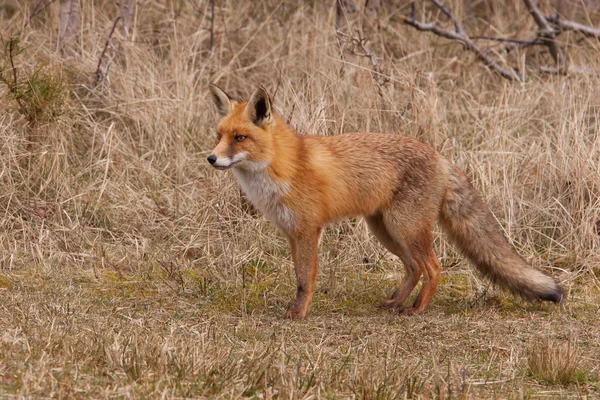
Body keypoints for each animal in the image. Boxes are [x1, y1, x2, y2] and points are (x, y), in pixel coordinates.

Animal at [206, 84, 564, 318]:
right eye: (219, 136)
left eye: (240, 138)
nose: (210, 158)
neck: (282, 167)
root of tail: (440, 157)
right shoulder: (293, 234)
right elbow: (298, 278)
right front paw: (295, 310)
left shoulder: (308, 231)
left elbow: (305, 280)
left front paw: (298, 314)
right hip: (386, 230)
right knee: (414, 268)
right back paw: (396, 303)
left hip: (405, 228)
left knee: (432, 267)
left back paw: (417, 309)